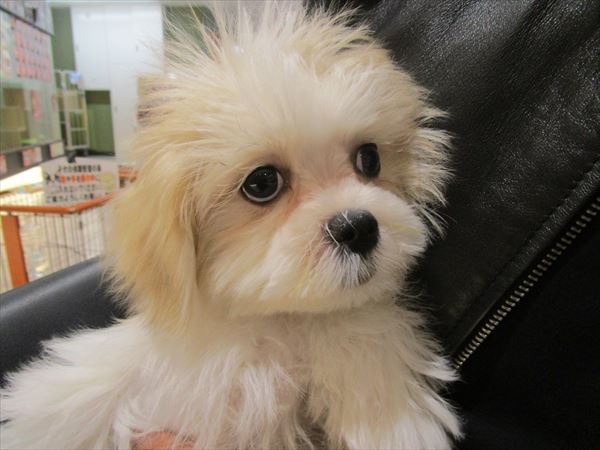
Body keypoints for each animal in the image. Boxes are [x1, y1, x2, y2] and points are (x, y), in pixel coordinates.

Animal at [1, 3, 461, 449]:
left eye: (370, 158)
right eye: (262, 183)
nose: (359, 227)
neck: (274, 325)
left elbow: (359, 329)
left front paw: (389, 415)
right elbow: (97, 380)